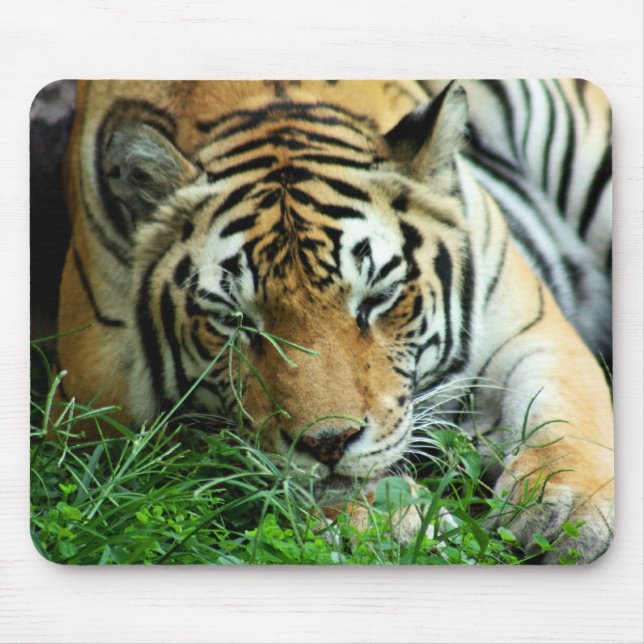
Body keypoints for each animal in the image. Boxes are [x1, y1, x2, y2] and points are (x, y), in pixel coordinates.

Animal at [56, 80, 613, 563]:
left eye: (379, 298)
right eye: (236, 321)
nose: (327, 442)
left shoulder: (528, 328)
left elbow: (564, 412)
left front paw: (566, 517)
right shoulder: (98, 414)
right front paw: (396, 523)